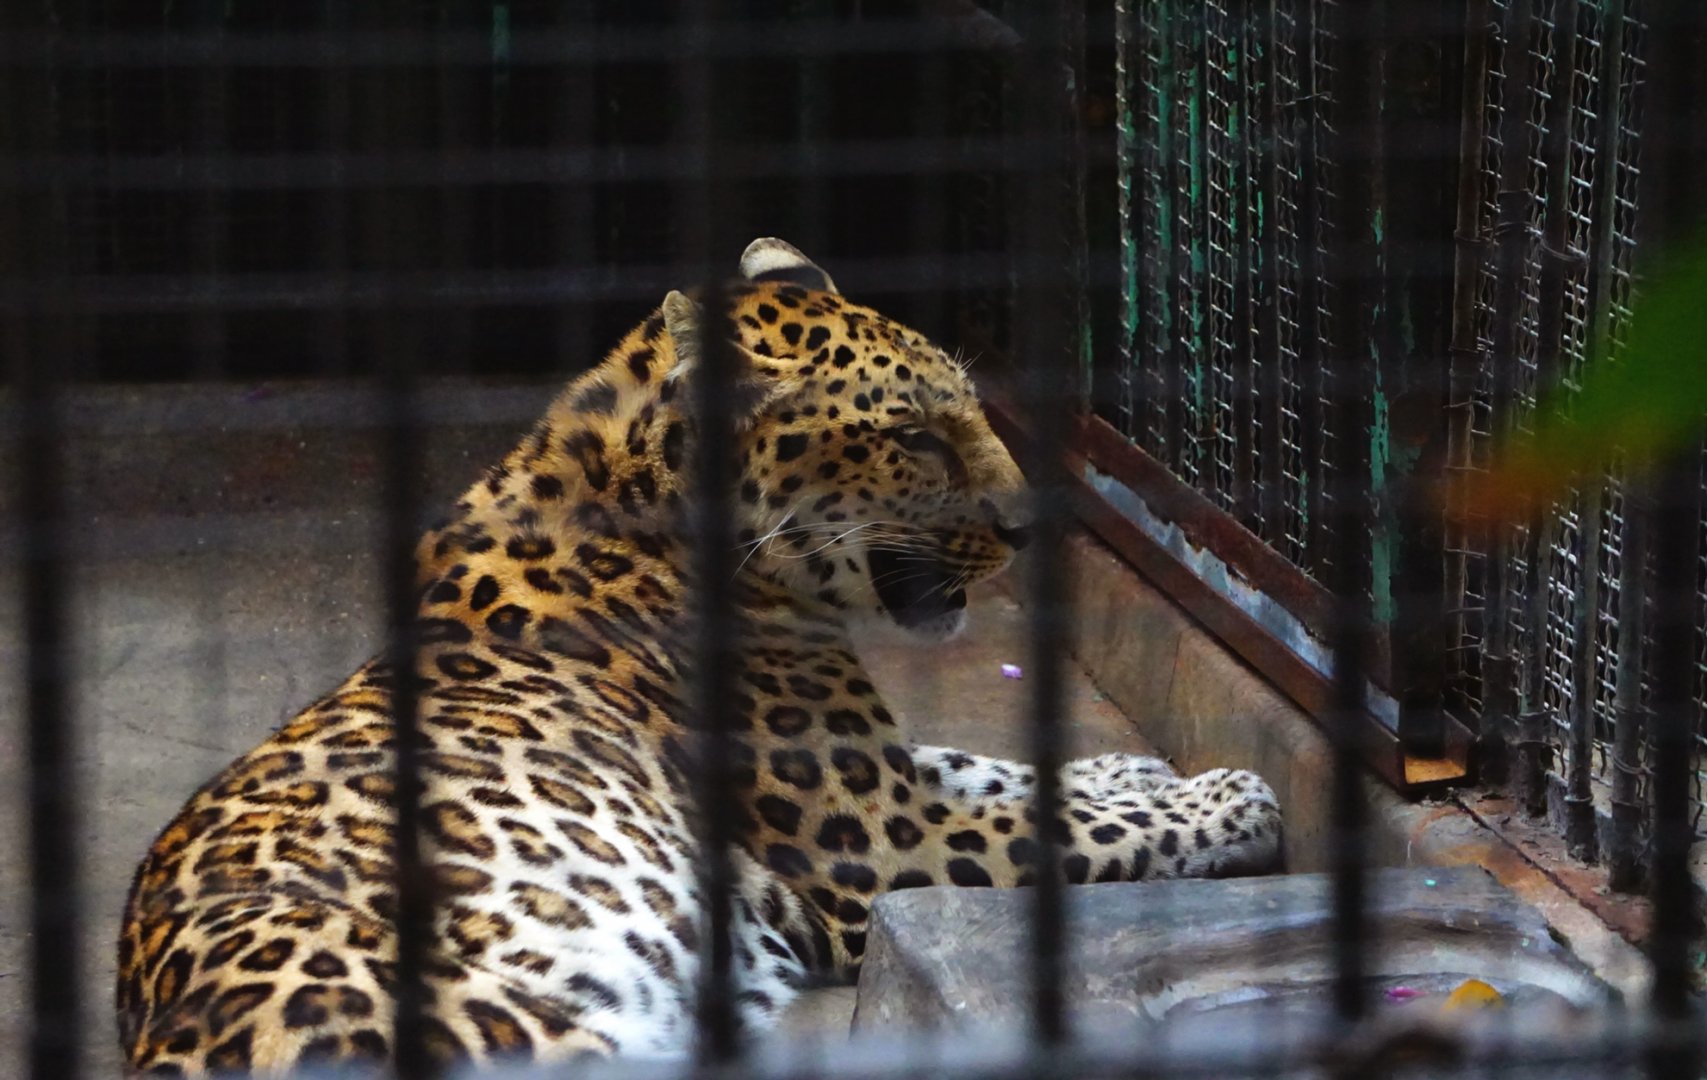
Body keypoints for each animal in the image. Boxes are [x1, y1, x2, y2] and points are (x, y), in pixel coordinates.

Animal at [115, 237, 1283, 1076]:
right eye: (911, 435)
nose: (1028, 527)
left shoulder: (880, 771)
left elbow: (991, 764)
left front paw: (1137, 768)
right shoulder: (879, 846)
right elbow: (1074, 827)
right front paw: (1232, 802)